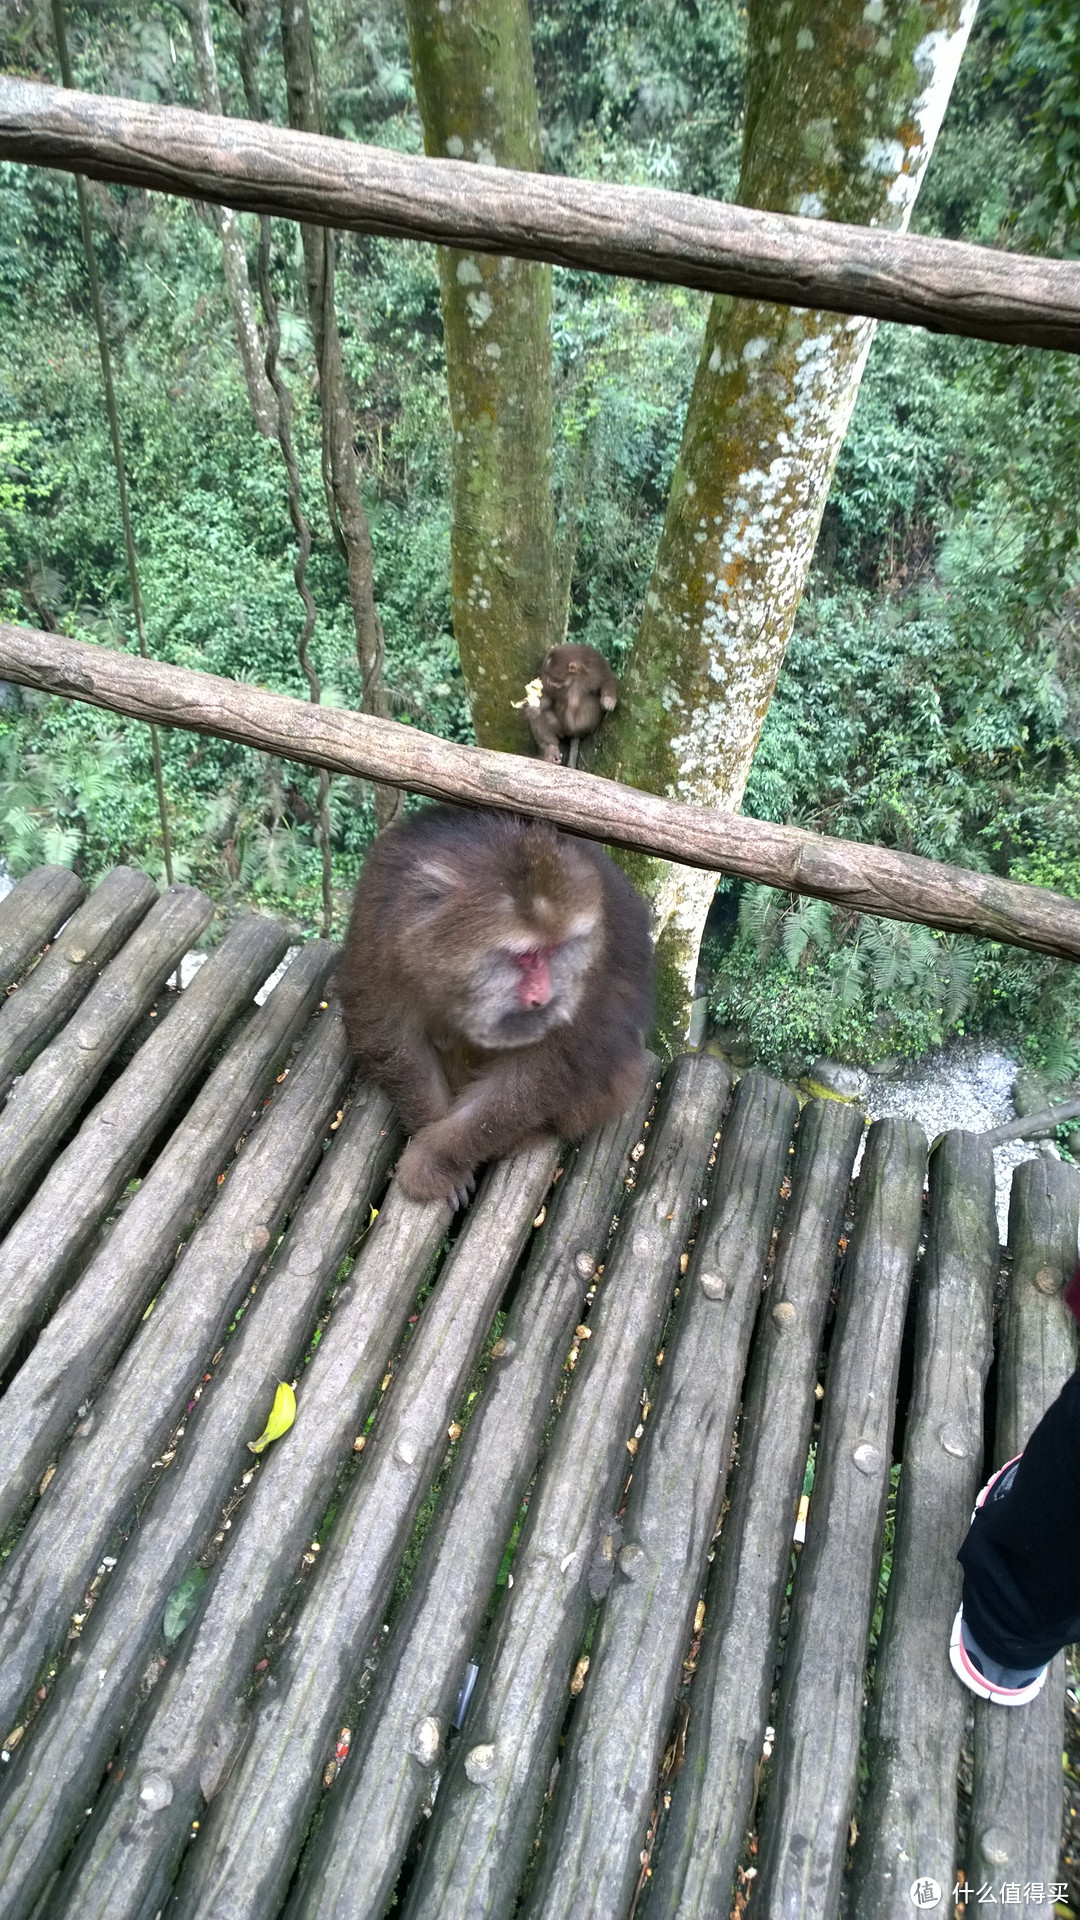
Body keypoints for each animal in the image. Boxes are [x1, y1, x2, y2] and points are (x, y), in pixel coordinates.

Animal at [340, 802, 653, 1205]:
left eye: (554, 951)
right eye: (525, 956)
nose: (543, 997)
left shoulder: (591, 980)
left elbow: (535, 1076)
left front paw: (435, 1159)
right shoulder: (381, 921)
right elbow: (389, 1029)